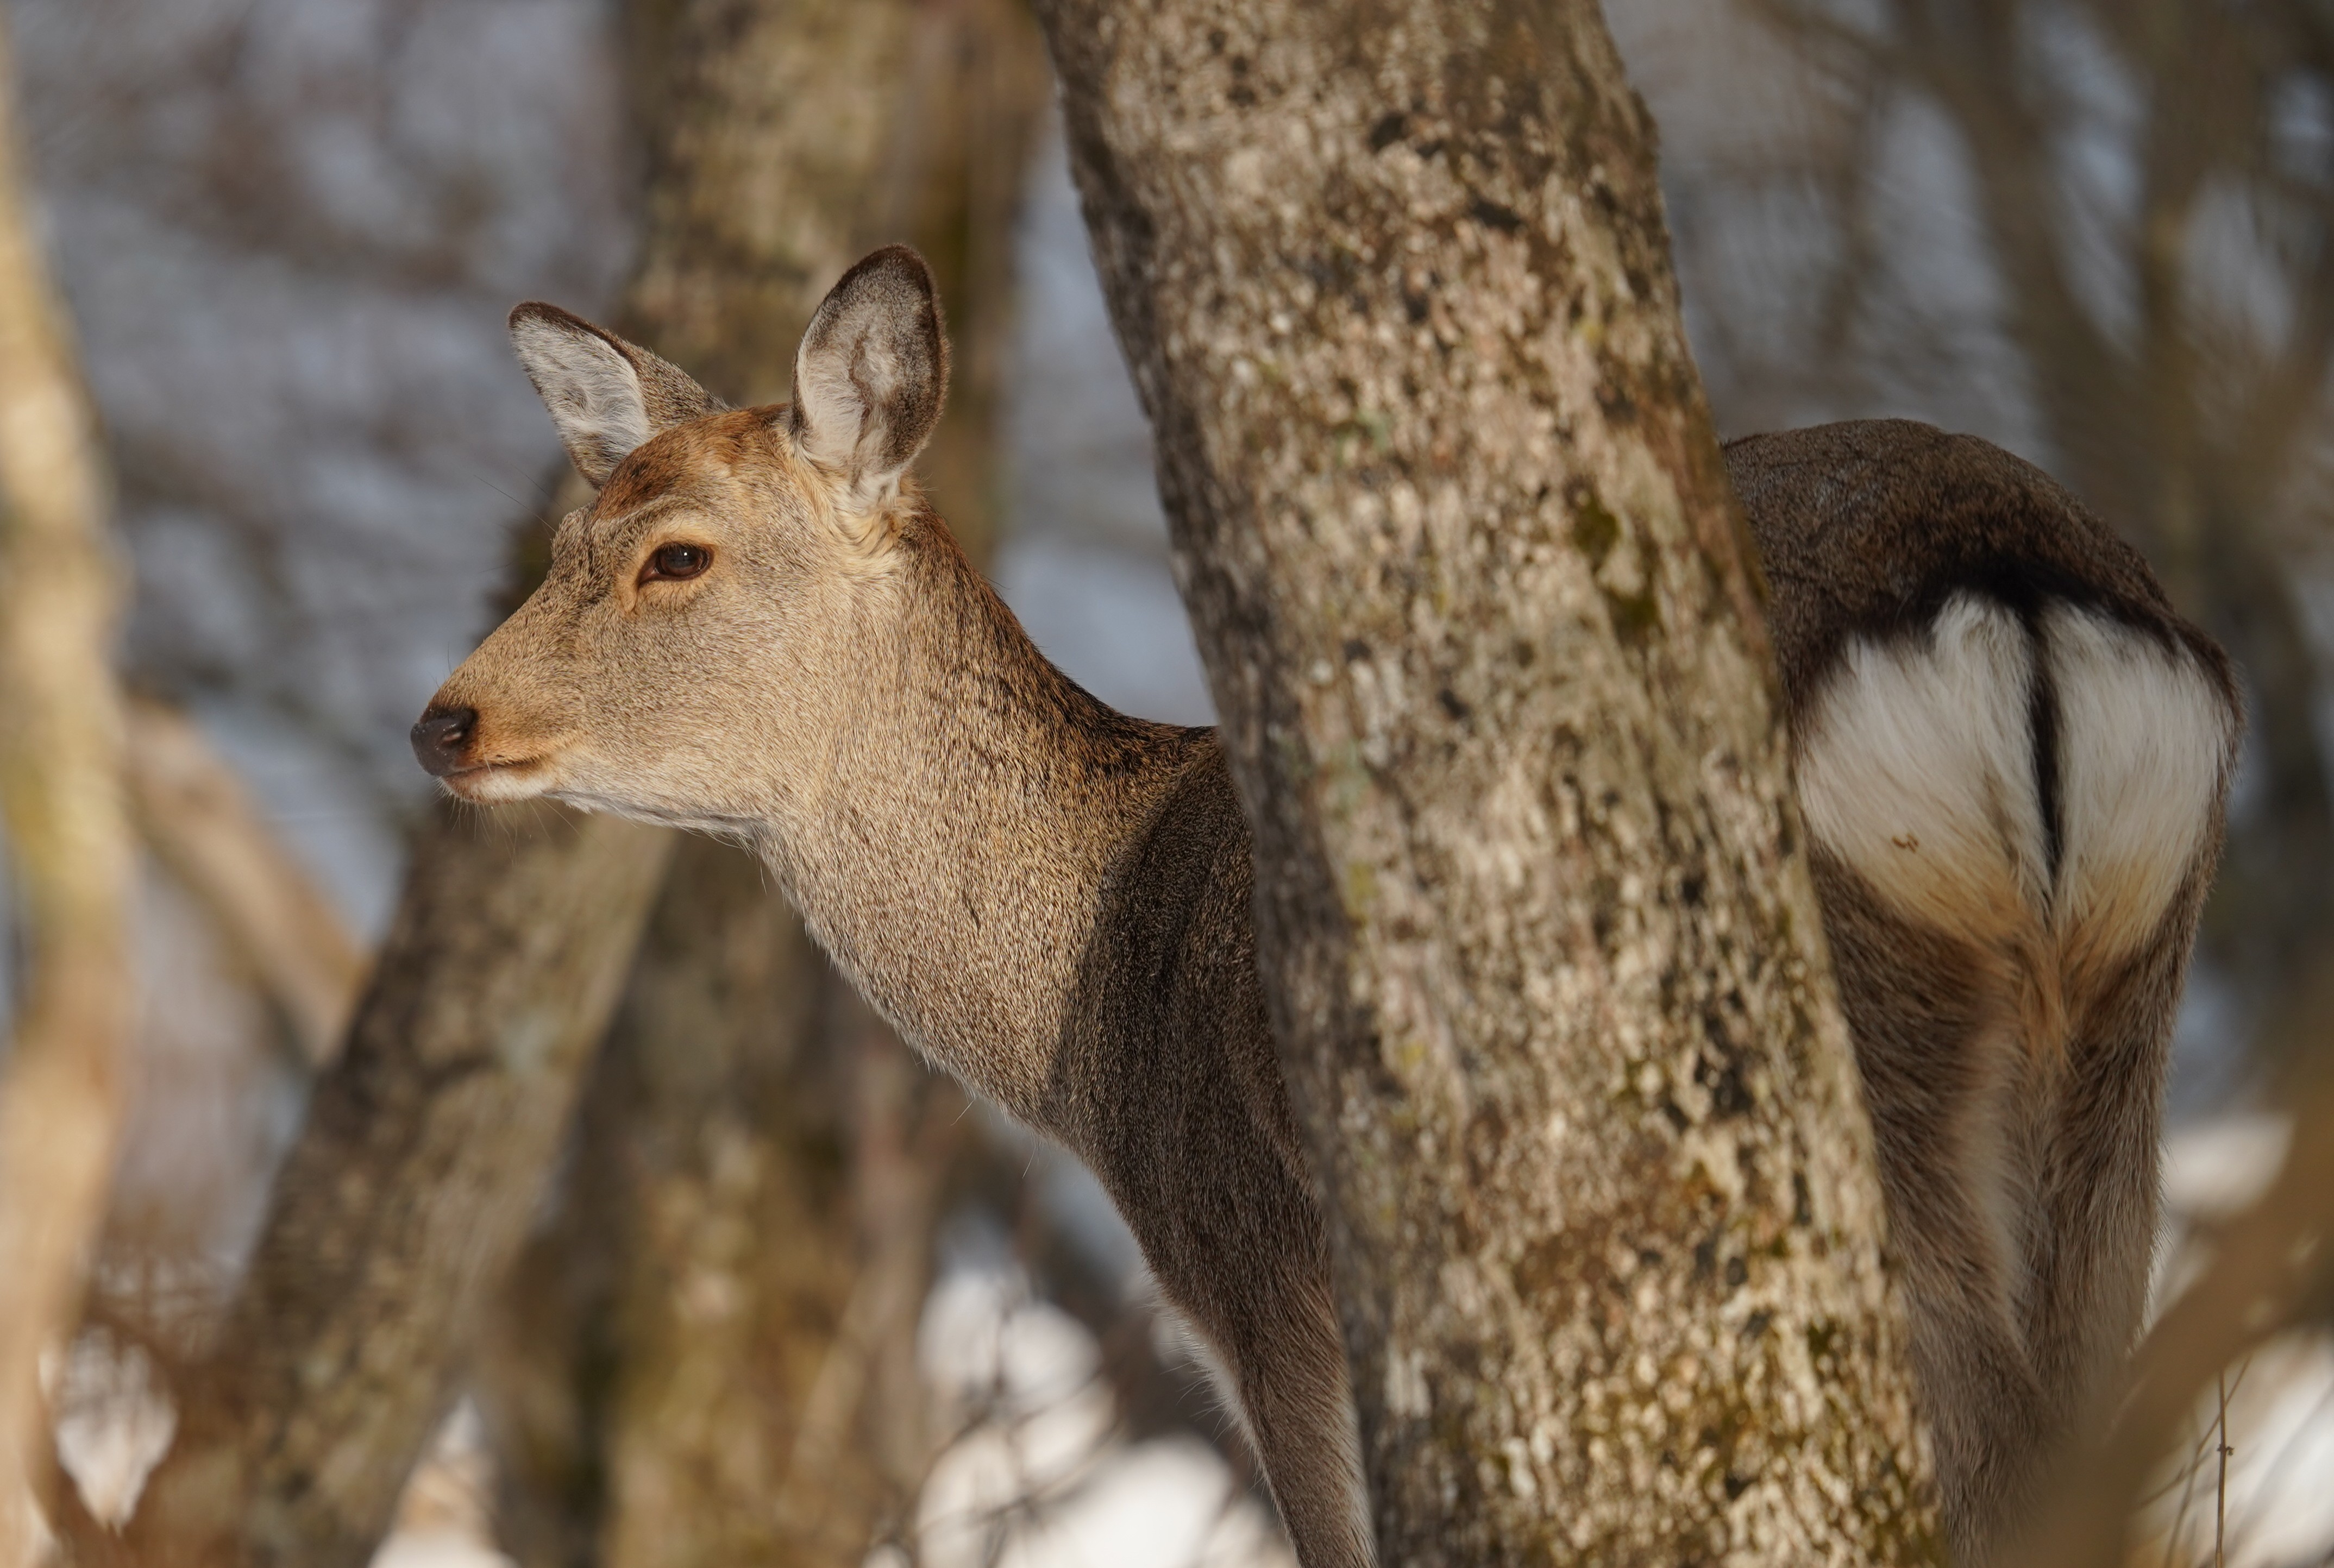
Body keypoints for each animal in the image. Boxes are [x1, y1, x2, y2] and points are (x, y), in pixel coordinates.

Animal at [412, 245, 2240, 1566]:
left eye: (676, 554)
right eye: (567, 530)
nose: (447, 719)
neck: (1087, 1036)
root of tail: (2009, 583)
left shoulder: (1258, 1263)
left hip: (1841, 1055)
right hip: (2115, 1041)